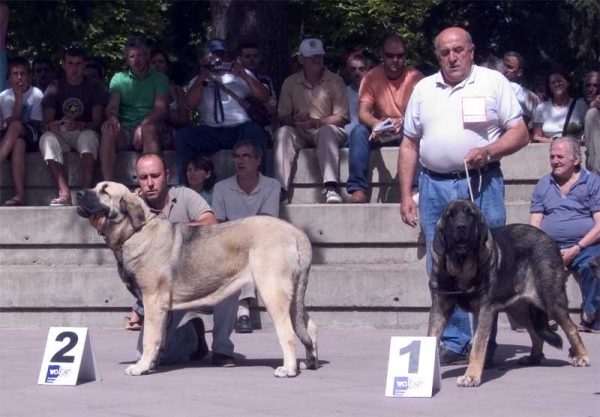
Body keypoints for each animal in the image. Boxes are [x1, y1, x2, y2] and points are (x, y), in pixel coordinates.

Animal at [78, 180, 318, 376]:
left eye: (104, 190)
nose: (79, 192)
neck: (135, 232)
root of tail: (296, 233)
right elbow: (158, 337)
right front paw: (152, 364)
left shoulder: (153, 300)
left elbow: (149, 338)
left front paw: (141, 366)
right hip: (293, 296)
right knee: (309, 327)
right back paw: (310, 361)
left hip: (274, 291)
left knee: (287, 331)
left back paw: (289, 369)